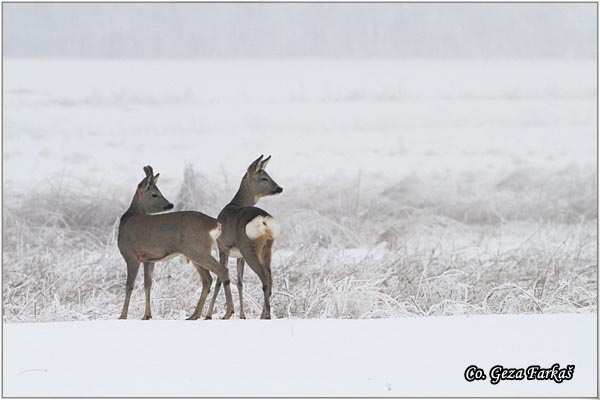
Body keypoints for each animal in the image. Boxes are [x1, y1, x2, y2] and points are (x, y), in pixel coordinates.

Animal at [118, 166, 236, 322]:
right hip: (196, 252)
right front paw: (147, 315)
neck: (128, 219)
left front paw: (122, 316)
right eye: (155, 194)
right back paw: (194, 315)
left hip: (198, 250)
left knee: (222, 271)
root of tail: (216, 224)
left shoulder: (131, 255)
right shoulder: (148, 259)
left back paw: (228, 312)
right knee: (207, 279)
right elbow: (147, 284)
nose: (170, 204)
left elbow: (129, 285)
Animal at [206, 155, 284, 320]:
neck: (234, 203)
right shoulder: (239, 255)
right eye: (264, 177)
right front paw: (242, 315)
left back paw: (266, 315)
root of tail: (264, 220)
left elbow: (220, 279)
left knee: (264, 277)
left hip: (249, 247)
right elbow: (240, 282)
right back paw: (263, 314)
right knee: (270, 277)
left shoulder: (223, 247)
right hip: (266, 248)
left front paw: (211, 314)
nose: (279, 188)